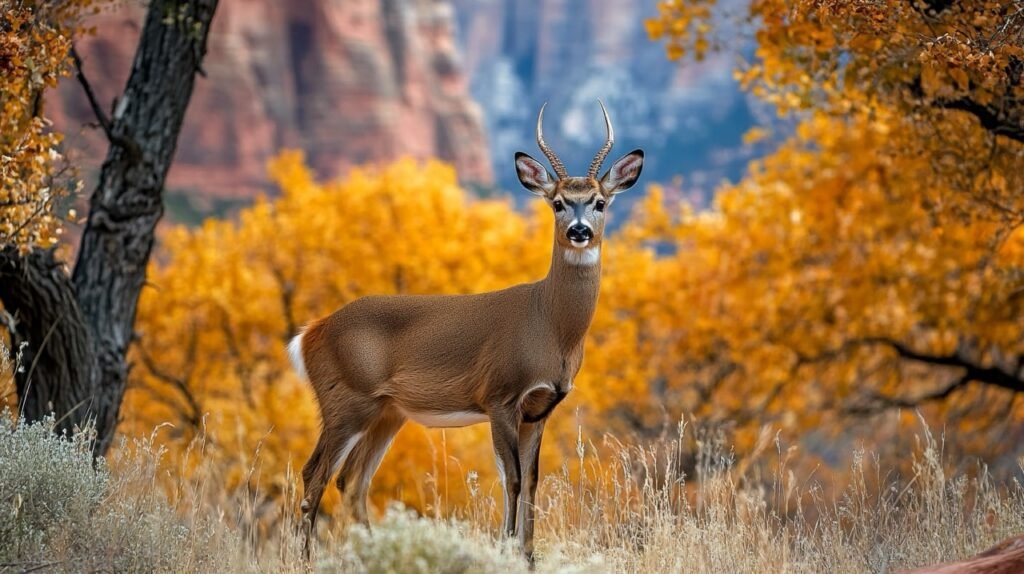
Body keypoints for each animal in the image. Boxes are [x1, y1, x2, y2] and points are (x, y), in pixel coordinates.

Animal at [288, 100, 638, 556]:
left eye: (599, 202)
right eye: (559, 203)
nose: (579, 231)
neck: (550, 327)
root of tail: (310, 331)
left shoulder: (541, 407)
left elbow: (534, 482)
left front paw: (528, 555)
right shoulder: (500, 395)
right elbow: (512, 479)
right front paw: (506, 550)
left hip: (386, 410)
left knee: (351, 481)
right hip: (345, 398)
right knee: (314, 474)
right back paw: (305, 559)